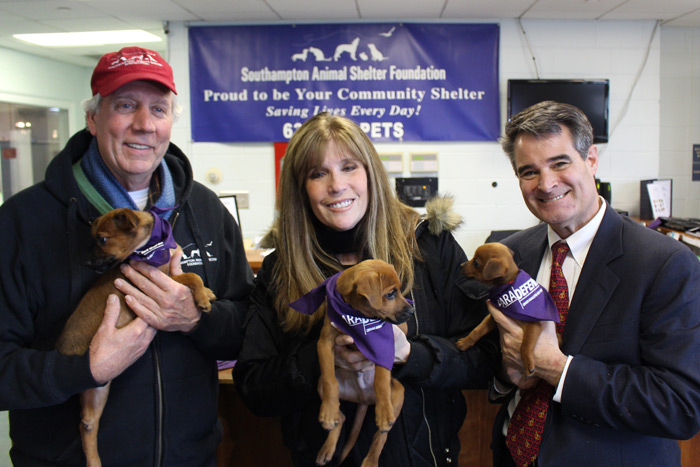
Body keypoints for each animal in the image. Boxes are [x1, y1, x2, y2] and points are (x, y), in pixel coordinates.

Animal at [55, 209, 216, 467]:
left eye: (102, 239)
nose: (88, 262)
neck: (151, 247)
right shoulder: (163, 279)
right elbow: (193, 275)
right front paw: (202, 296)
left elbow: (193, 275)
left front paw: (207, 293)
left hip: (98, 392)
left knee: (87, 425)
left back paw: (94, 460)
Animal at [298, 260, 412, 467]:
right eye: (390, 294)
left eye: (399, 291)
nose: (411, 311)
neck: (358, 316)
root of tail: (363, 400)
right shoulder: (325, 343)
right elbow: (330, 380)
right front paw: (328, 411)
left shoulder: (384, 345)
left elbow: (381, 381)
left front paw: (384, 411)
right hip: (319, 384)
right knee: (341, 417)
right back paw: (328, 442)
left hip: (399, 393)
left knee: (381, 436)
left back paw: (371, 460)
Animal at [456, 241, 544, 376]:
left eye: (476, 262)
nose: (460, 266)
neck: (506, 288)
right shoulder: (492, 318)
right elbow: (477, 330)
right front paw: (465, 342)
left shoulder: (533, 324)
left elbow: (525, 345)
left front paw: (528, 364)